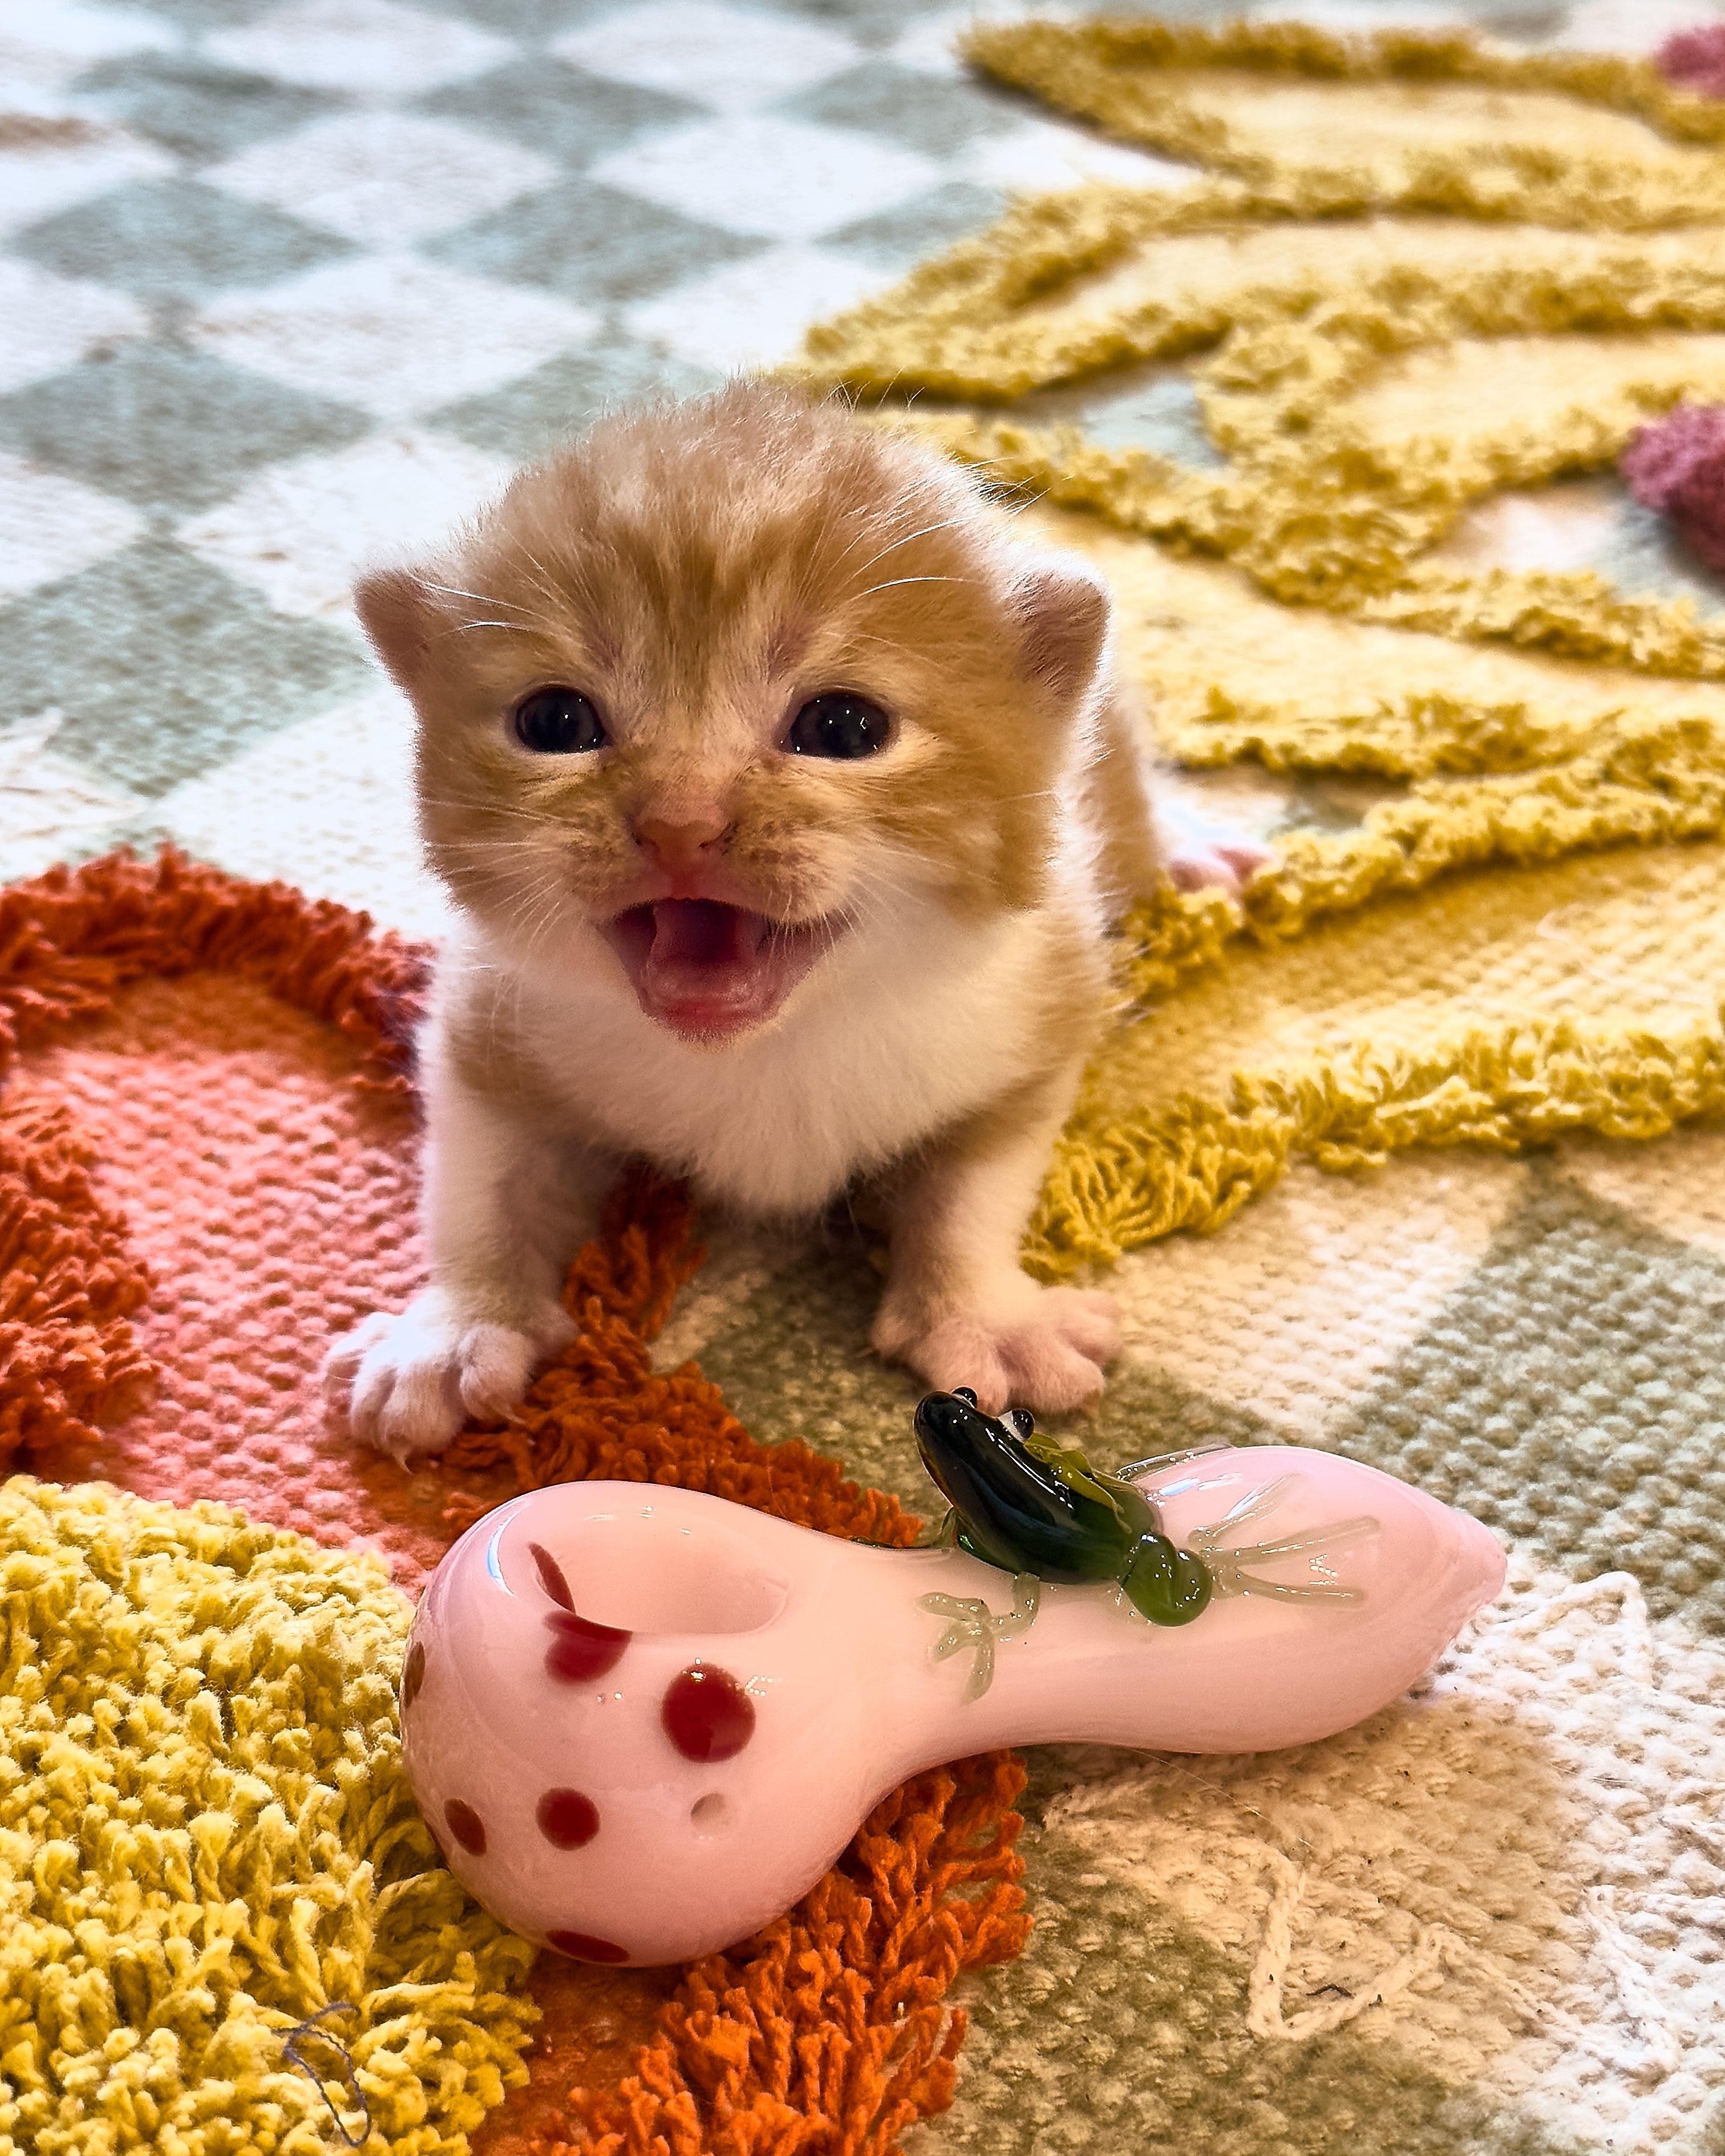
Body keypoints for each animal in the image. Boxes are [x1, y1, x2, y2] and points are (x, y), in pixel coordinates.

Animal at [323, 388, 1268, 1466]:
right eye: (554, 722)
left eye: (844, 728)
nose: (679, 822)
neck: (761, 1048)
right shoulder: (493, 1022)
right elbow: (477, 1176)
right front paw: (457, 1326)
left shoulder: (1033, 1007)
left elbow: (978, 1182)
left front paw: (982, 1313)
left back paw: (1184, 852)